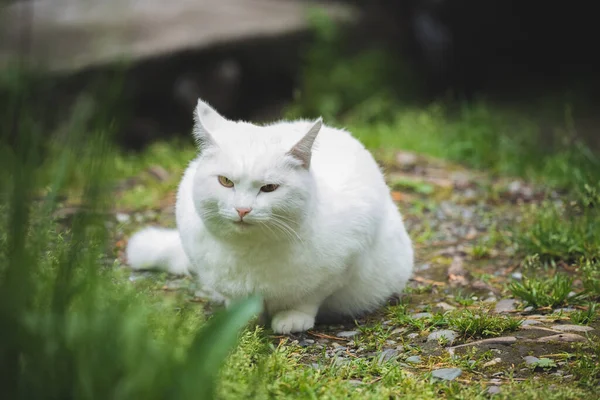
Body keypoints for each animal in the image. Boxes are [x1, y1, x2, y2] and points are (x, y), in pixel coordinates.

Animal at [126, 98, 412, 332]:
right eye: (225, 182)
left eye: (269, 188)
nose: (242, 209)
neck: (251, 252)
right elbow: (237, 301)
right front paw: (240, 320)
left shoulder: (342, 267)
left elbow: (308, 299)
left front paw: (292, 318)